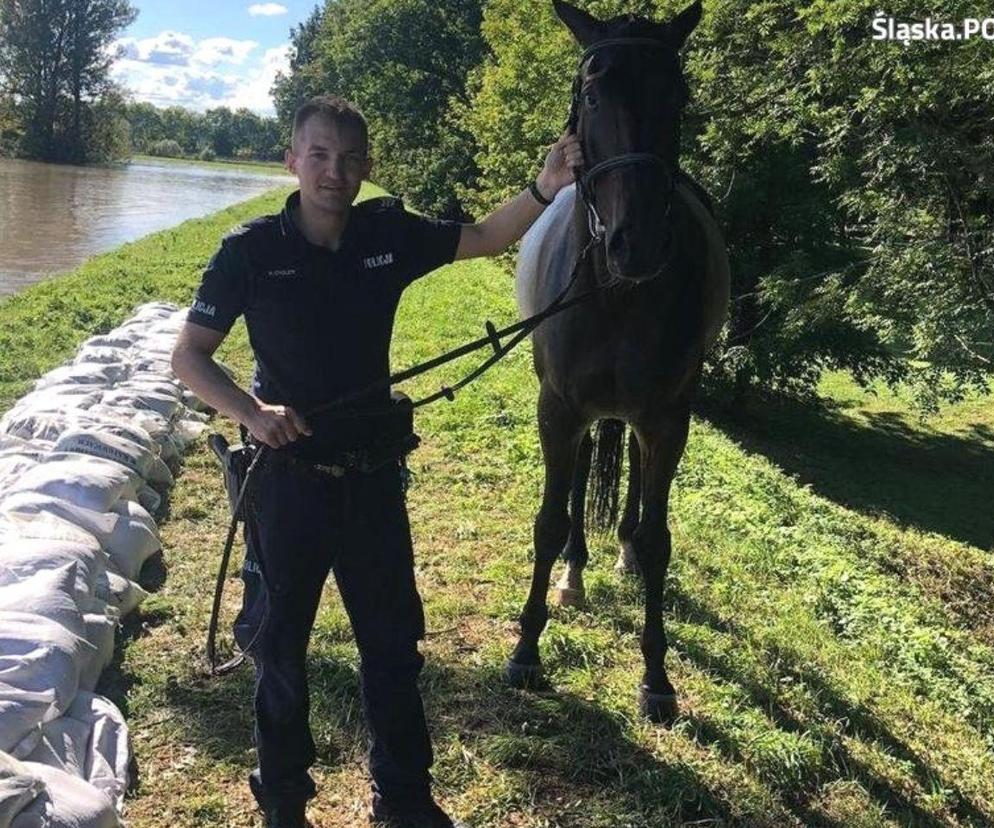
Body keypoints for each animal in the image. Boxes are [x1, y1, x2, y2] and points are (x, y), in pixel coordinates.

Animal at [508, 0, 724, 720]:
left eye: (677, 95)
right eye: (593, 93)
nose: (639, 243)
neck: (616, 293)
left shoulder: (668, 419)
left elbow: (659, 540)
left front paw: (656, 676)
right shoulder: (557, 409)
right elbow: (549, 521)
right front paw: (527, 649)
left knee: (628, 461)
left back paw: (621, 550)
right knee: (578, 480)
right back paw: (574, 573)